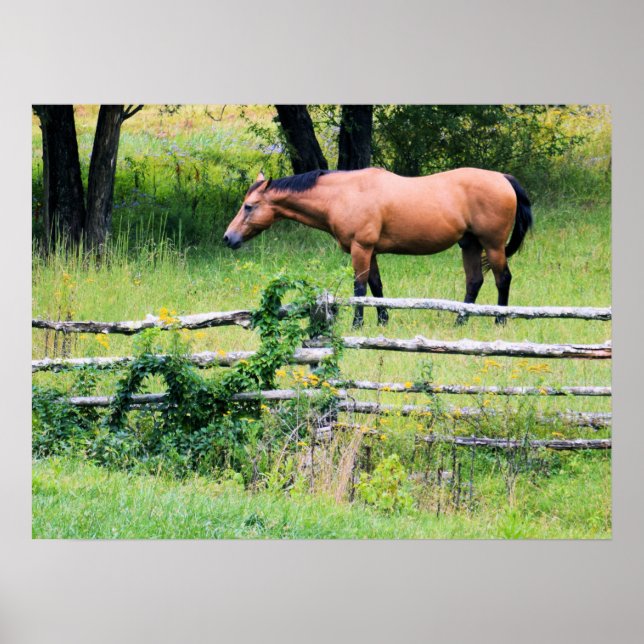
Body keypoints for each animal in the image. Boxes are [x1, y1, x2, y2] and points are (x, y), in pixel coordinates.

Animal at [223, 167, 533, 327]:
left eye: (249, 206)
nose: (228, 238)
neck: (344, 193)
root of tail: (503, 178)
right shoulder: (369, 251)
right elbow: (376, 286)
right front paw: (383, 320)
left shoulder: (361, 248)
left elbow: (360, 289)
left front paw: (357, 325)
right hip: (469, 244)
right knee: (474, 281)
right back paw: (459, 322)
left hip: (493, 245)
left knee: (502, 279)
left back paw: (500, 321)